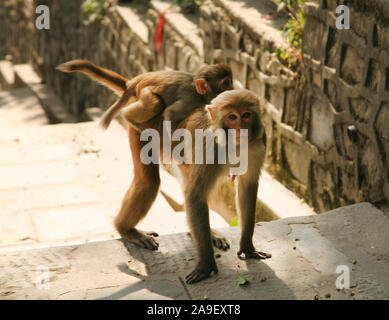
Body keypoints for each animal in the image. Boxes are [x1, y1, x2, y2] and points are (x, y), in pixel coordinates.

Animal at [56, 60, 232, 130]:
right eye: (225, 83)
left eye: (230, 82)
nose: (231, 89)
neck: (200, 94)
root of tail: (137, 80)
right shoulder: (191, 100)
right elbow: (170, 113)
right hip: (144, 91)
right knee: (156, 104)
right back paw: (128, 117)